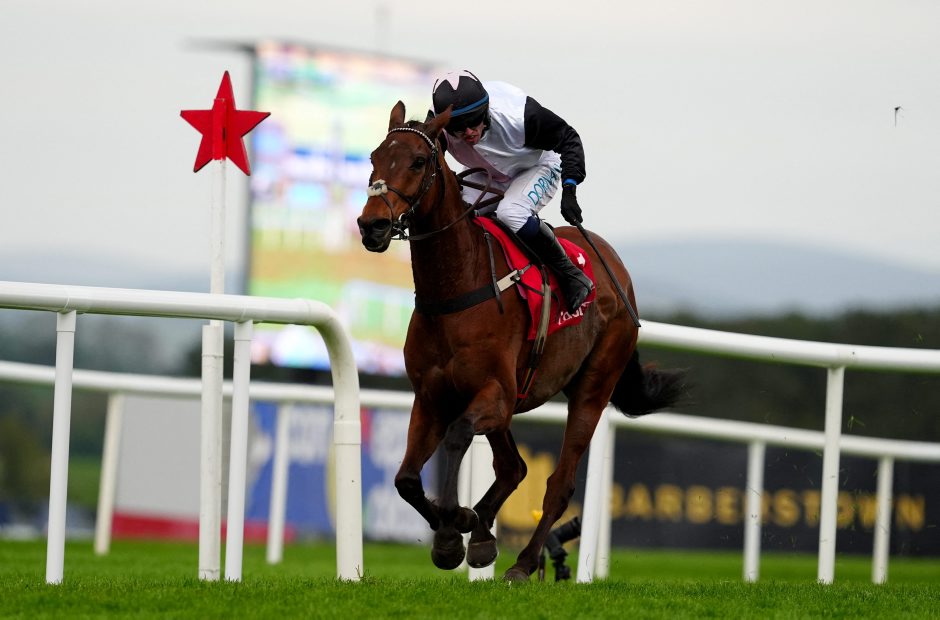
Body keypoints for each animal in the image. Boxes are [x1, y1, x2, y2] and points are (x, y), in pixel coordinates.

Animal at [356, 102, 685, 581]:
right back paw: (483, 534)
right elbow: (405, 480)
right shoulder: (431, 397)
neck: (456, 288)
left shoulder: (494, 392)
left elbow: (456, 437)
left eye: (417, 161)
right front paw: (458, 530)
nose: (373, 226)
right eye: (374, 157)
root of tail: (617, 270)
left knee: (558, 483)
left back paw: (524, 562)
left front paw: (454, 527)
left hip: (592, 386)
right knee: (513, 467)